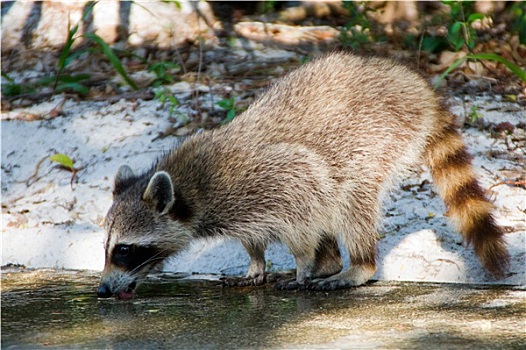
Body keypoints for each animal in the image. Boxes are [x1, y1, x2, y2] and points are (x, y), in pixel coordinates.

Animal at [97, 52, 510, 298]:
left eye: (125, 250)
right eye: (107, 247)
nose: (102, 290)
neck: (194, 187)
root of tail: (409, 82)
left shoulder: (273, 178)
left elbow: (302, 212)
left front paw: (301, 266)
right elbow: (256, 236)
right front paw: (256, 263)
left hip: (378, 137)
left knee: (348, 199)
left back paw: (357, 265)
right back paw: (331, 261)